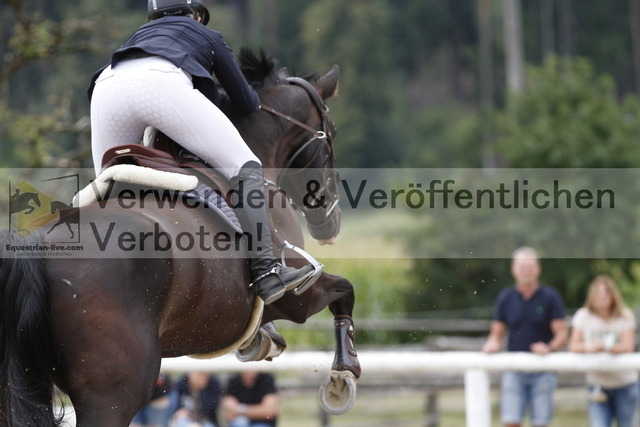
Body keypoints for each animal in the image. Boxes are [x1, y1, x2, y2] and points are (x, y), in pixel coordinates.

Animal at [0, 49, 360, 427]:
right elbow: (343, 290)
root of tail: (34, 245)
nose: (331, 223)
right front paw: (343, 376)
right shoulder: (297, 297)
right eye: (331, 133)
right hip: (112, 393)